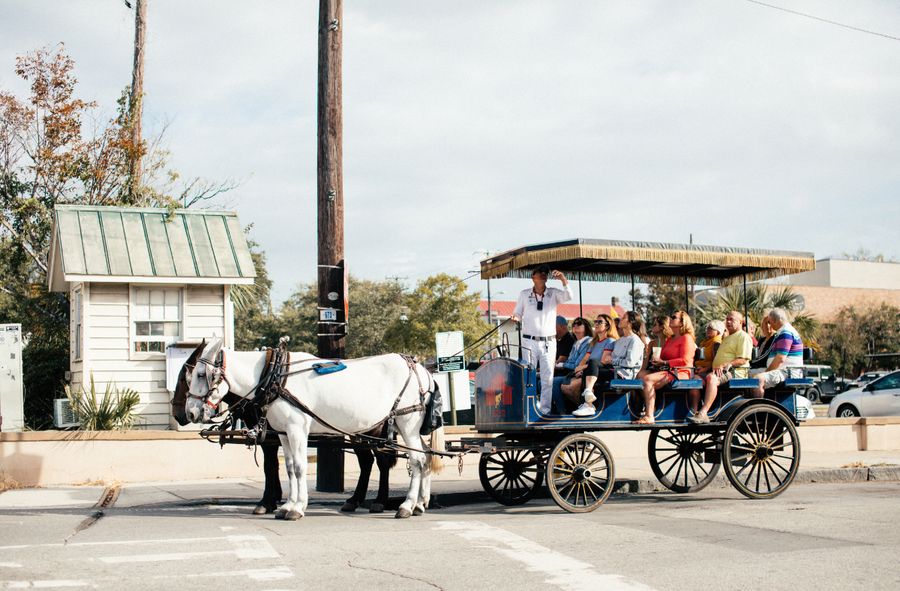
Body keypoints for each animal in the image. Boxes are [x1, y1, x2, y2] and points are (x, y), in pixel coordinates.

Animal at [185, 340, 444, 520]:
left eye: (200, 374)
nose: (189, 413)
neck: (274, 376)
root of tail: (422, 370)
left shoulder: (297, 429)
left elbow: (300, 467)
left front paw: (297, 508)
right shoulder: (283, 433)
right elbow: (290, 468)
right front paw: (287, 505)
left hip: (406, 421)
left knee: (416, 461)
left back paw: (406, 506)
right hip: (405, 426)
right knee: (425, 456)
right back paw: (420, 504)